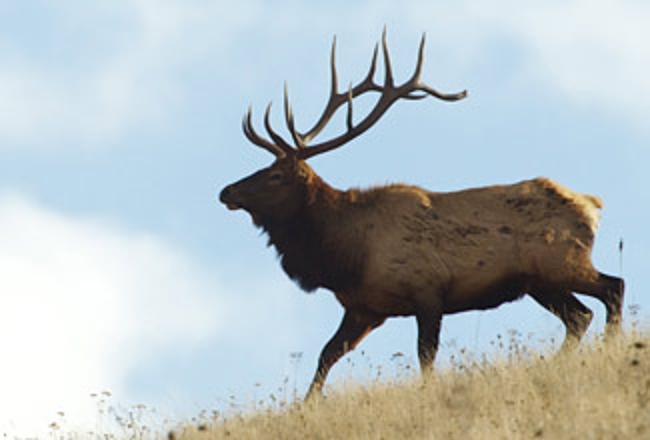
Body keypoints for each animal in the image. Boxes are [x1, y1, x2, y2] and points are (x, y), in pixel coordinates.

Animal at [219, 31, 624, 398]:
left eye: (274, 175)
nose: (226, 191)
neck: (347, 254)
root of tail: (592, 205)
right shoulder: (364, 308)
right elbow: (326, 354)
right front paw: (306, 405)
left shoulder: (427, 290)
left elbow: (425, 356)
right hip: (540, 281)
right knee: (580, 316)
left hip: (563, 262)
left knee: (612, 288)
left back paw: (612, 347)